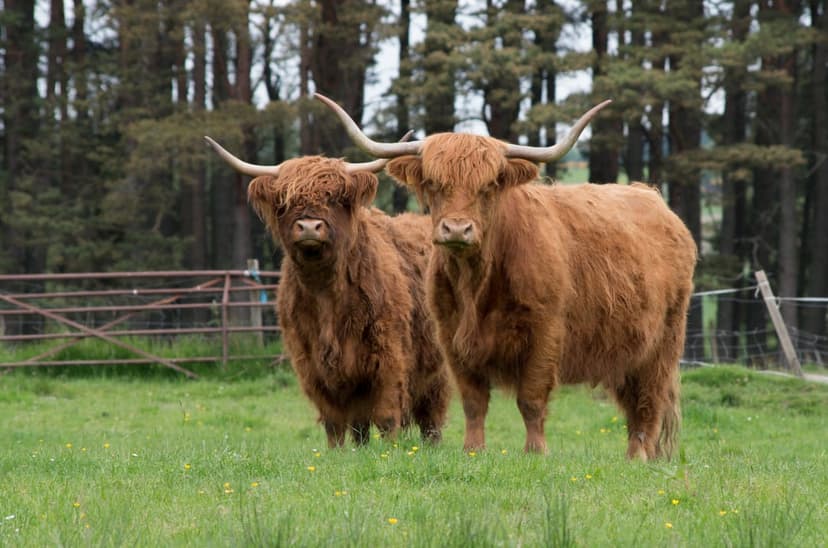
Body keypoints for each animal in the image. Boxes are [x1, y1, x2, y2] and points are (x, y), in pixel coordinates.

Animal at [204, 136, 450, 448]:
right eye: (285, 201)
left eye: (334, 198)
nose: (309, 226)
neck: (326, 298)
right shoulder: (312, 365)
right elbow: (335, 422)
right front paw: (339, 453)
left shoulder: (389, 359)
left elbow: (386, 416)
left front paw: (391, 452)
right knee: (360, 425)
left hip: (437, 369)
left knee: (431, 417)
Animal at [317, 93, 697, 460]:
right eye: (434, 184)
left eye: (487, 187)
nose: (457, 229)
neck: (476, 284)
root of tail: (653, 198)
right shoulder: (452, 337)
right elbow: (473, 402)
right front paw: (473, 450)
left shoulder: (545, 333)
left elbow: (531, 398)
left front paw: (535, 451)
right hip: (628, 349)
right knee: (633, 401)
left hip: (664, 342)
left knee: (649, 401)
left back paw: (639, 457)